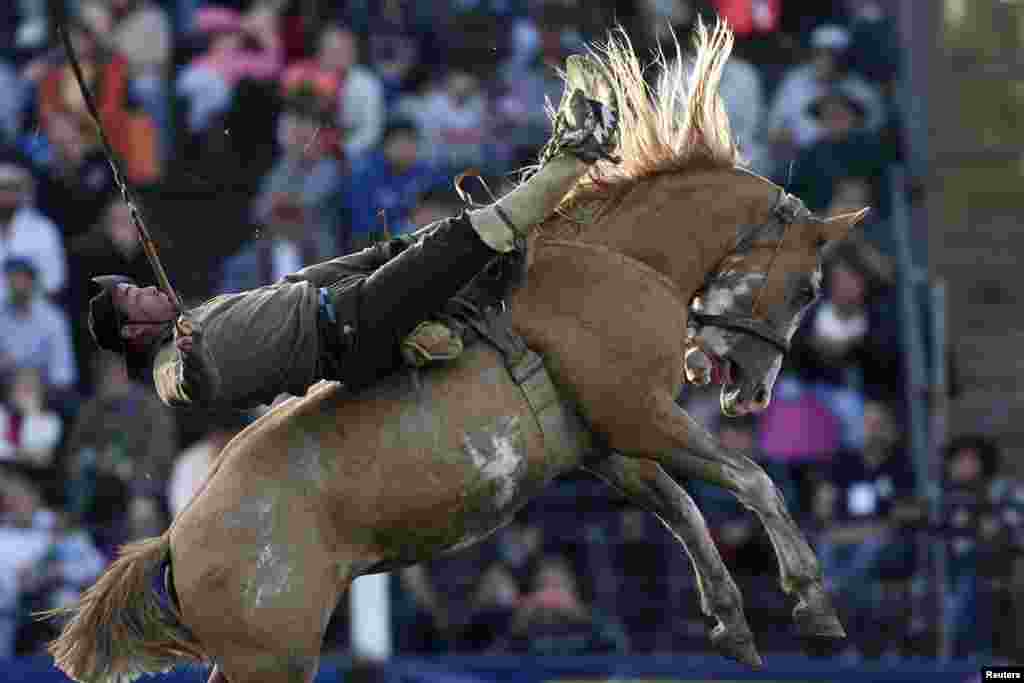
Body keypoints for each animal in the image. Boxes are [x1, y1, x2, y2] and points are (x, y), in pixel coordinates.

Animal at [48, 22, 864, 683]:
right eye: (808, 288)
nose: (753, 392)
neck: (620, 260)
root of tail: (175, 542)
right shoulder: (640, 413)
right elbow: (750, 479)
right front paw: (814, 603)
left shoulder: (606, 444)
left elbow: (685, 508)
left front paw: (730, 620)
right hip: (272, 659)